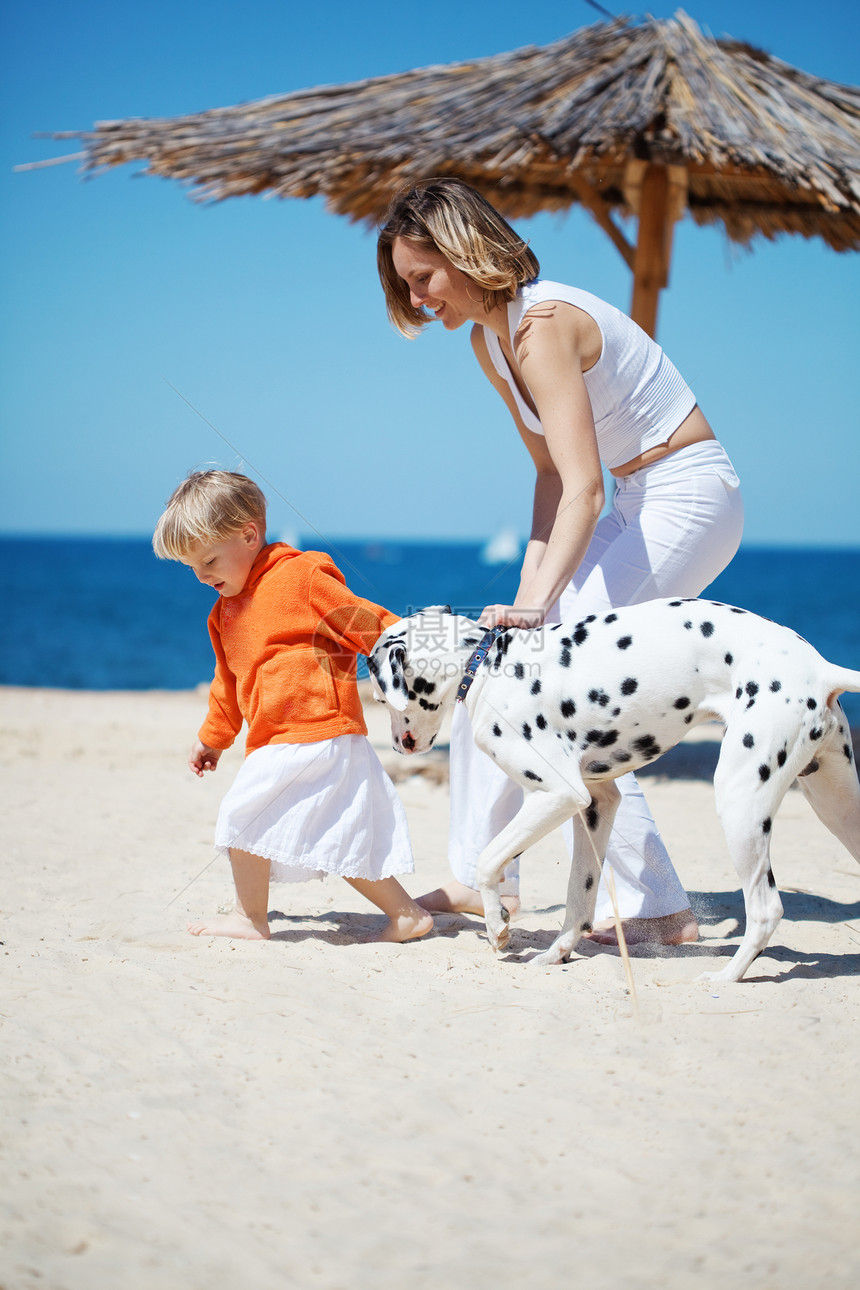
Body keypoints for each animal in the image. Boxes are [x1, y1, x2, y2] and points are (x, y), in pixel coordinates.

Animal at [371, 598, 860, 980]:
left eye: (378, 695)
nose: (397, 745)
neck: (491, 665)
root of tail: (818, 667)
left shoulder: (558, 795)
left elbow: (489, 860)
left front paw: (498, 927)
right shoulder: (596, 804)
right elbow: (579, 896)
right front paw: (556, 954)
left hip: (740, 801)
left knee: (765, 909)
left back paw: (726, 976)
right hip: (837, 807)